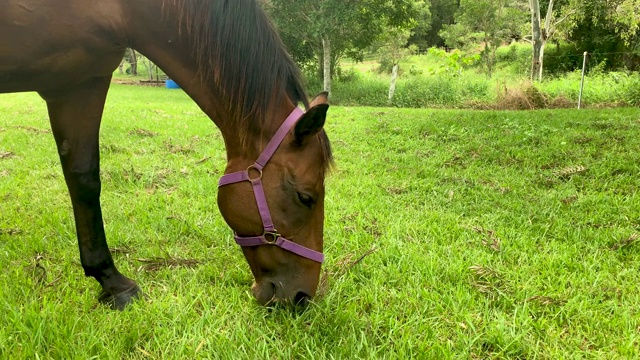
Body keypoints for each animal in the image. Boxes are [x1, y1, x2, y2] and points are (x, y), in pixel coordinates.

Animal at [2, 0, 336, 310]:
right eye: (306, 197)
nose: (303, 297)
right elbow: (84, 181)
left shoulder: (78, 84)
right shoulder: (74, 85)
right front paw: (113, 281)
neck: (119, 10)